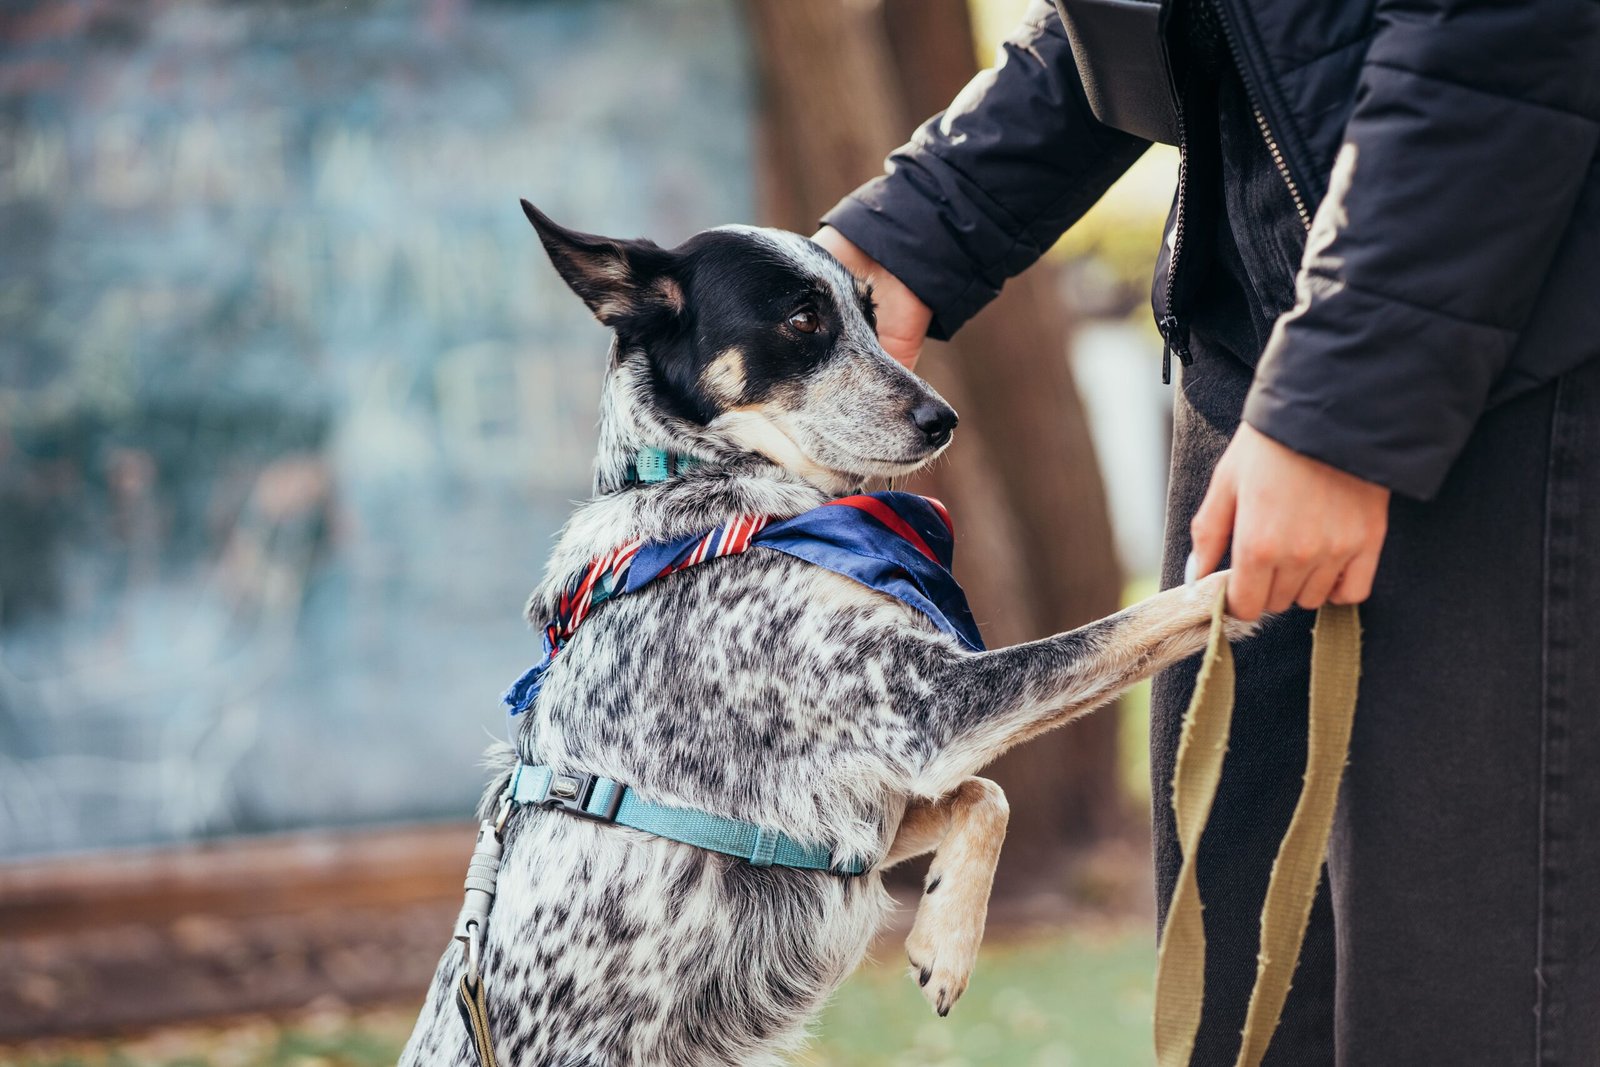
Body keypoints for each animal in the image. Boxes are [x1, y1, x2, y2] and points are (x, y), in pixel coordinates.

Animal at [396, 202, 1235, 1067]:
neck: (722, 497)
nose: (943, 418)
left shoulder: (863, 811)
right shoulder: (932, 712)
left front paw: (943, 936)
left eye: (872, 315)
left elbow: (989, 793)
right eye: (802, 319)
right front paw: (1255, 565)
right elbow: (1147, 617)